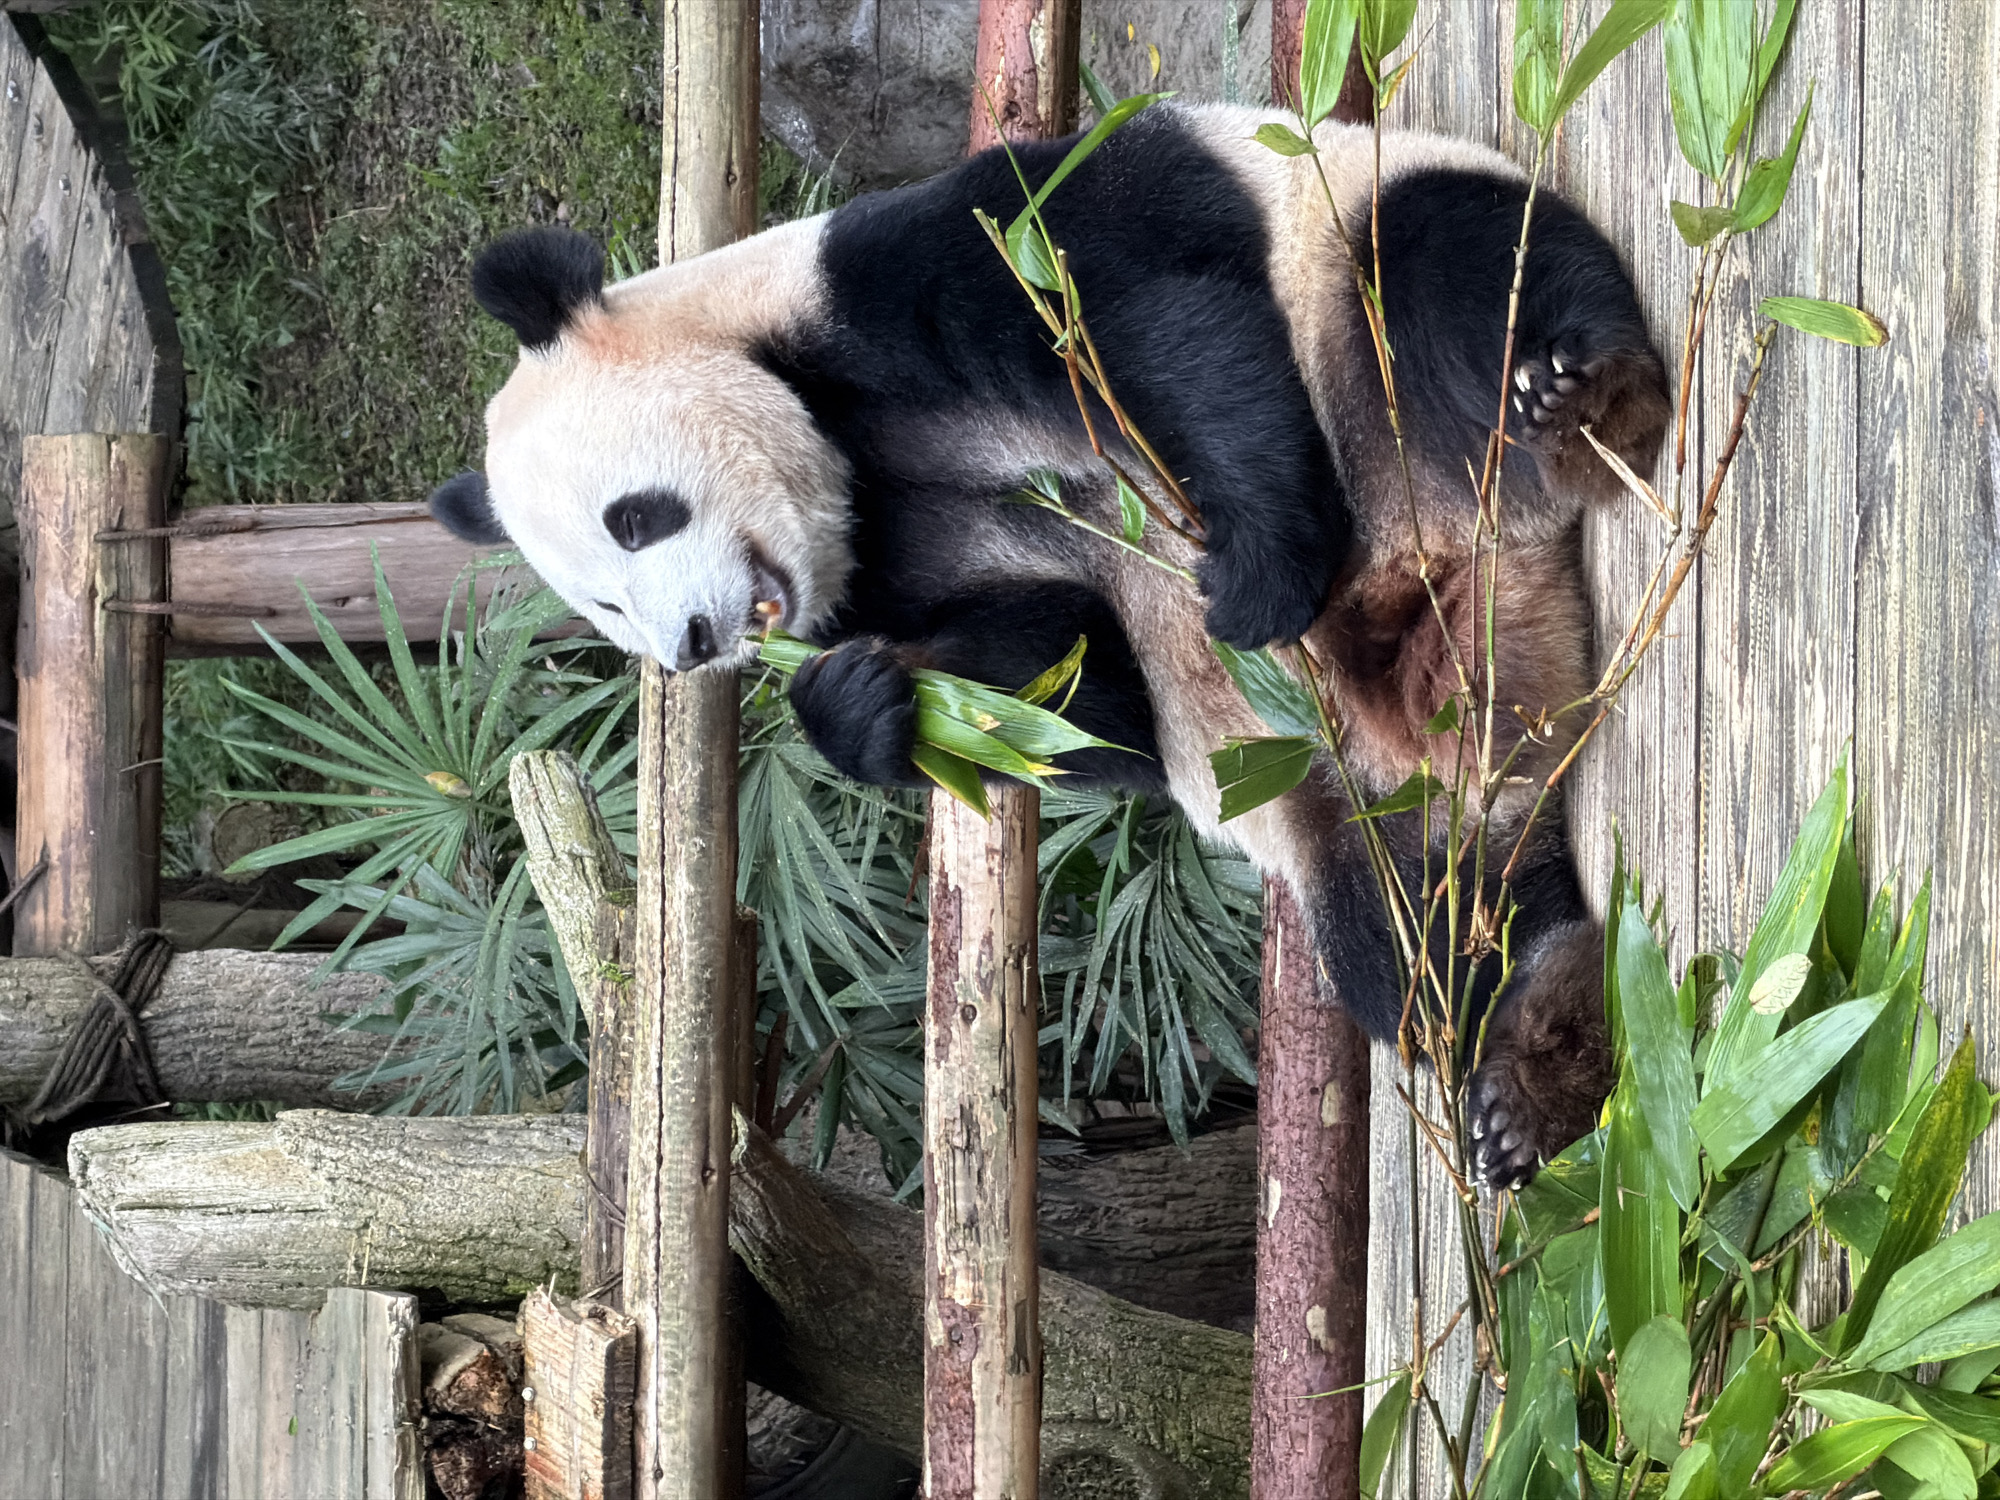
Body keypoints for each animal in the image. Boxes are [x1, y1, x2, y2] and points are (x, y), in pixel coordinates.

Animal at [429, 101, 1671, 1190]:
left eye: (635, 517)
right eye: (601, 609)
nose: (692, 643)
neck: (815, 430)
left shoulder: (888, 277)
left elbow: (1147, 323)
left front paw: (1256, 583)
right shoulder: (883, 555)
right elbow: (1078, 682)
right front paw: (855, 704)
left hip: (1360, 314)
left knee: (1443, 275)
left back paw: (1587, 407)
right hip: (1359, 807)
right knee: (1418, 941)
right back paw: (1533, 1065)